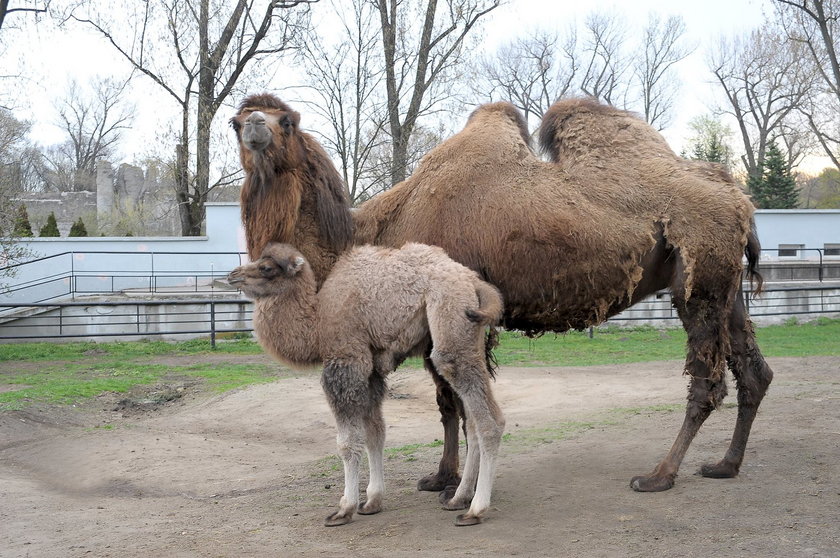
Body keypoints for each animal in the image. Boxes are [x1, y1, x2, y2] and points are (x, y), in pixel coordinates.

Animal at [226, 243, 506, 528]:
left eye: (266, 268)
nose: (233, 275)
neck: (319, 320)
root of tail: (473, 282)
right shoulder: (371, 372)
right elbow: (375, 432)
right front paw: (372, 500)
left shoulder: (347, 361)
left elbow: (348, 442)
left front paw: (344, 508)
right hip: (467, 336)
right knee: (471, 421)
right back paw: (458, 499)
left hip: (450, 318)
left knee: (487, 418)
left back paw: (475, 510)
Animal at [230, 94, 776, 496]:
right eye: (235, 122)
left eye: (288, 120)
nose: (255, 124)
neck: (372, 232)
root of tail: (740, 199)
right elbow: (447, 403)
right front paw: (442, 478)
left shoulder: (457, 315)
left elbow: (456, 399)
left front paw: (456, 484)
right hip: (722, 285)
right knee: (754, 371)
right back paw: (725, 464)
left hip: (699, 279)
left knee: (708, 381)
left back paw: (660, 474)